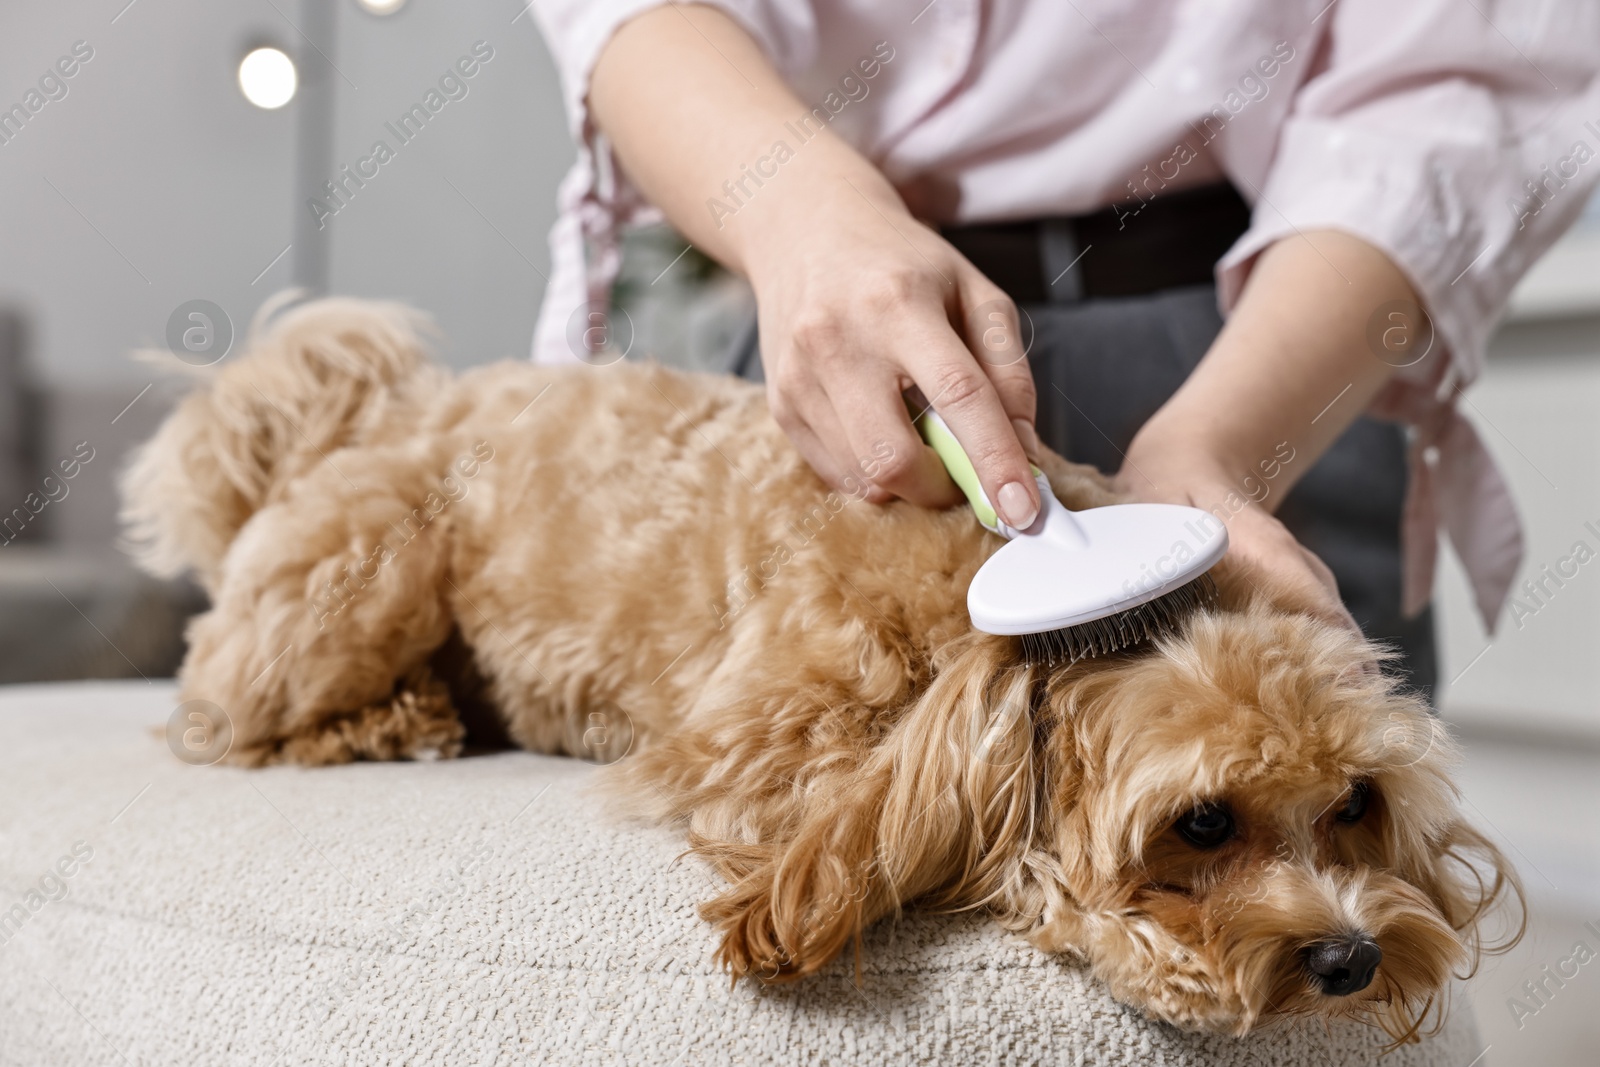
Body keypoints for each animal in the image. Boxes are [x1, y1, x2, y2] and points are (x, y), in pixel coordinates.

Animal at [121, 295, 1510, 1036]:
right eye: (1204, 822)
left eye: (1354, 804)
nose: (1353, 958)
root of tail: (376, 412)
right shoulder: (754, 745)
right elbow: (933, 840)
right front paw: (1157, 950)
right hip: (356, 589)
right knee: (212, 715)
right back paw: (384, 722)